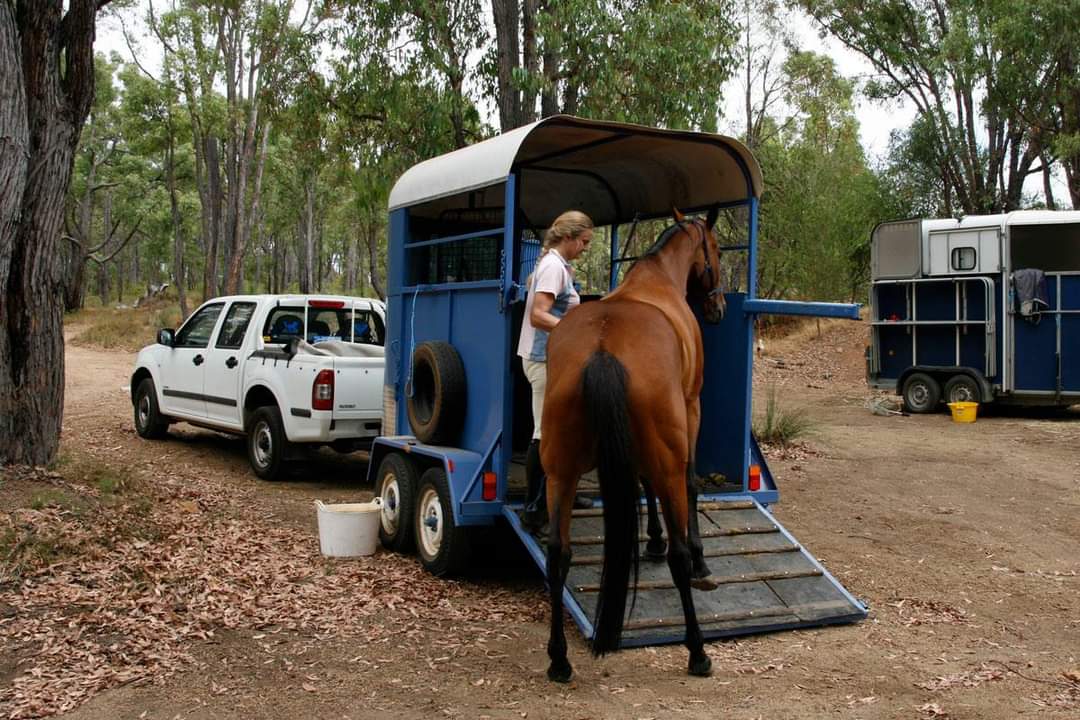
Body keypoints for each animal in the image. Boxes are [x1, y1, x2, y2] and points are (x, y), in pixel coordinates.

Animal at [540, 207, 725, 682]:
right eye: (716, 250)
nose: (718, 307)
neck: (657, 280)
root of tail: (603, 349)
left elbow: (642, 486)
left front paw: (653, 539)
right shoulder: (691, 411)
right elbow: (689, 485)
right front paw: (698, 559)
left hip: (561, 472)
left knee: (558, 555)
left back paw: (559, 659)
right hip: (666, 451)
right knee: (678, 554)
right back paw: (697, 651)